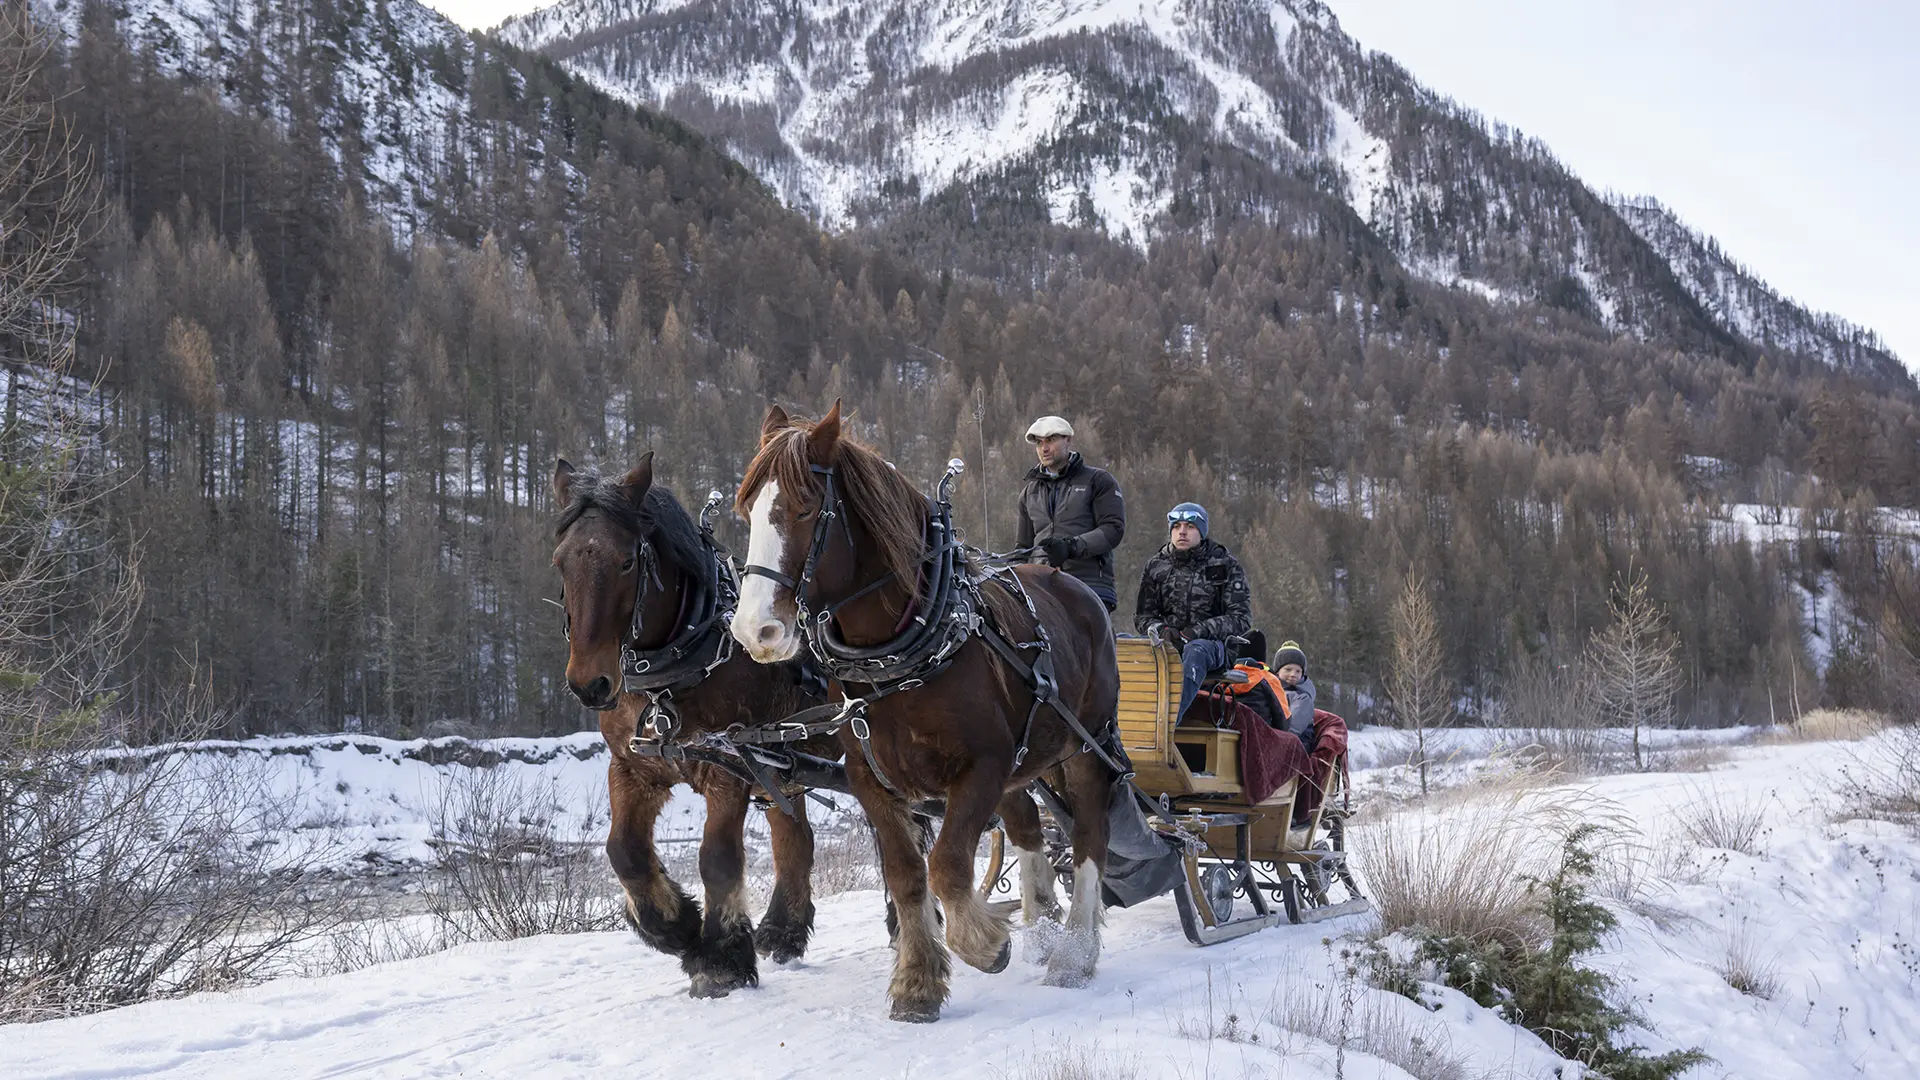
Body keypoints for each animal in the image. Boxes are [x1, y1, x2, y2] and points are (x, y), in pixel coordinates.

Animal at [556, 449, 825, 999]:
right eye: (560, 561)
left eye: (626, 561)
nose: (590, 684)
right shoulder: (633, 768)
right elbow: (624, 851)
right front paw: (674, 926)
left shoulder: (728, 768)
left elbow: (717, 857)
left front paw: (720, 956)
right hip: (781, 770)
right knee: (795, 838)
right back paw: (783, 931)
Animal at [729, 401, 1121, 1014]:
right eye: (747, 510)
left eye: (806, 507)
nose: (755, 630)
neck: (900, 658)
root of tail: (1077, 592)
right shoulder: (872, 777)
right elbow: (908, 874)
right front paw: (918, 980)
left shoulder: (982, 765)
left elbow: (948, 865)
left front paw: (984, 944)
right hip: (1025, 760)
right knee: (1029, 824)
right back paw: (1041, 922)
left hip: (1085, 744)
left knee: (1088, 836)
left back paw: (1074, 951)